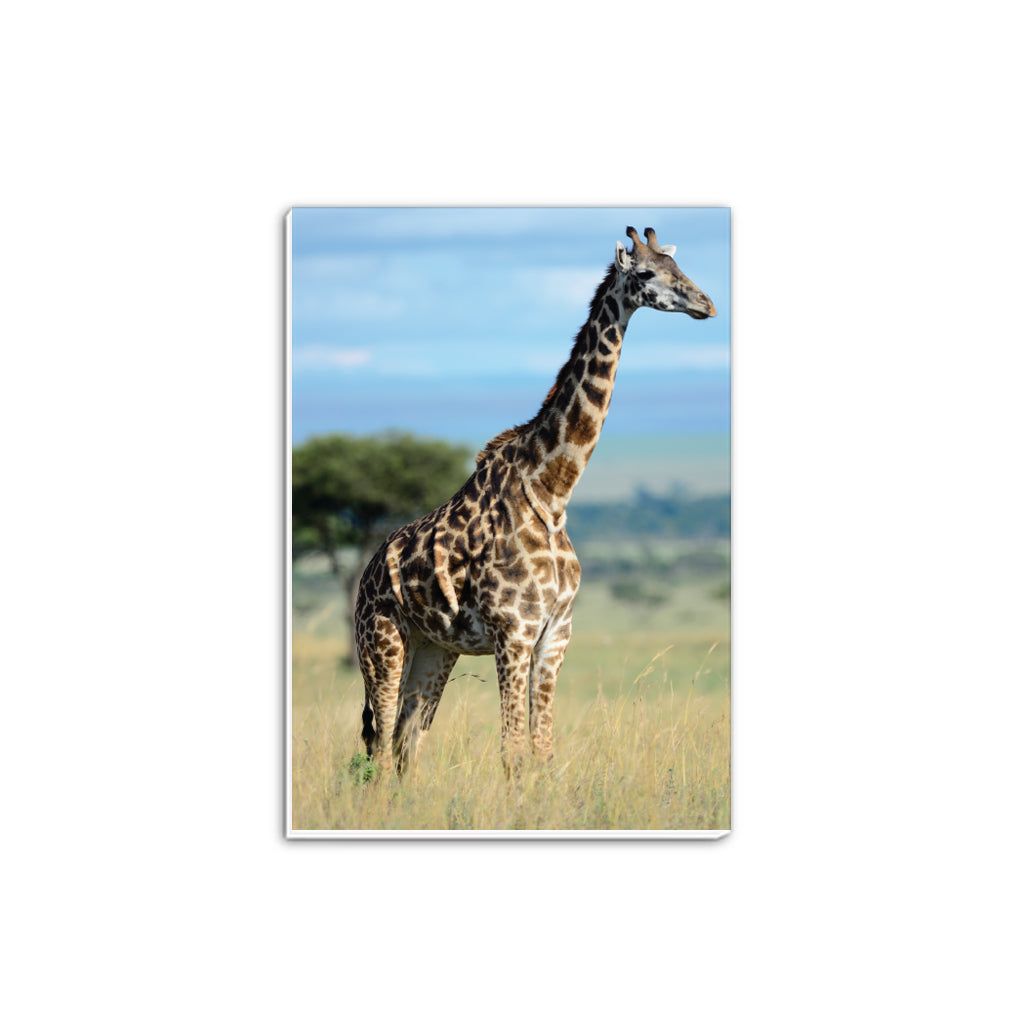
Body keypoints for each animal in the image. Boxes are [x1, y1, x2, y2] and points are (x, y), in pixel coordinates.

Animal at [354, 226, 716, 775]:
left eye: (680, 267)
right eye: (647, 273)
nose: (707, 304)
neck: (553, 492)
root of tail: (367, 575)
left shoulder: (555, 634)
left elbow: (543, 747)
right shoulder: (514, 633)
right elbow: (513, 750)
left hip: (433, 647)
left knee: (405, 741)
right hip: (381, 643)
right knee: (378, 742)